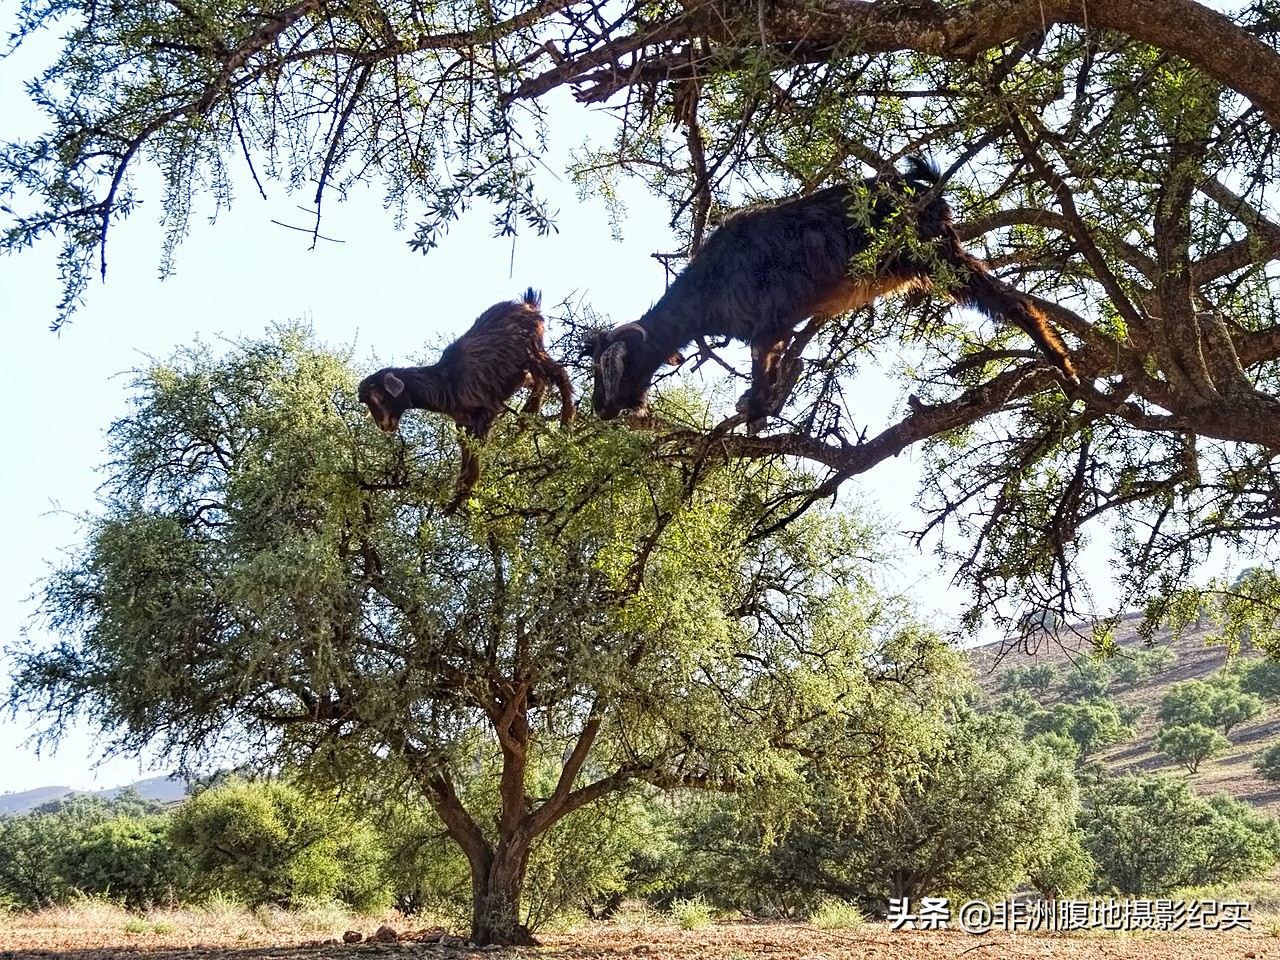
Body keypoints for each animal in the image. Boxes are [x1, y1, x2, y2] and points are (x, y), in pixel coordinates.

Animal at [353, 288, 568, 506]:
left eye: (377, 397)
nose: (383, 425)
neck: (444, 384)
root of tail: (528, 306)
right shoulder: (463, 423)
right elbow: (465, 448)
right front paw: (460, 488)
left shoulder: (485, 412)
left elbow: (475, 451)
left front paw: (463, 492)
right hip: (522, 367)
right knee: (539, 379)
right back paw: (528, 414)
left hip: (532, 349)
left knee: (559, 374)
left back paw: (566, 423)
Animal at [588, 158, 1080, 424]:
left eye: (617, 366)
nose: (601, 408)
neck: (709, 285)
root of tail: (921, 191)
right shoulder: (776, 328)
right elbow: (776, 363)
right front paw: (761, 402)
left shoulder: (769, 322)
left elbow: (763, 367)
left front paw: (755, 406)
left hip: (937, 257)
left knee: (1011, 302)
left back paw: (1062, 365)